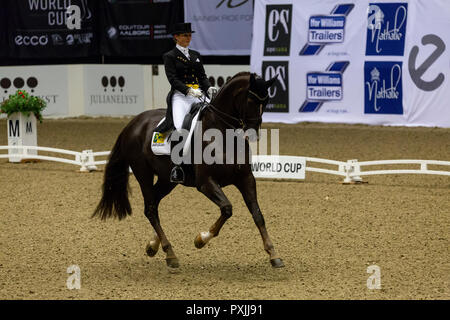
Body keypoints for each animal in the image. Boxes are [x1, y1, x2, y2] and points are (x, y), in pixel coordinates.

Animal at [92, 71, 284, 268]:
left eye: (266, 102)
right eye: (251, 100)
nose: (253, 134)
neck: (222, 133)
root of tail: (133, 123)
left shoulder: (245, 178)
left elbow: (258, 214)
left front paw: (273, 255)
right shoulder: (205, 182)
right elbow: (227, 208)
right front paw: (201, 239)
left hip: (167, 180)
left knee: (154, 202)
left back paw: (153, 245)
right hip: (143, 173)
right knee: (151, 209)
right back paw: (170, 254)